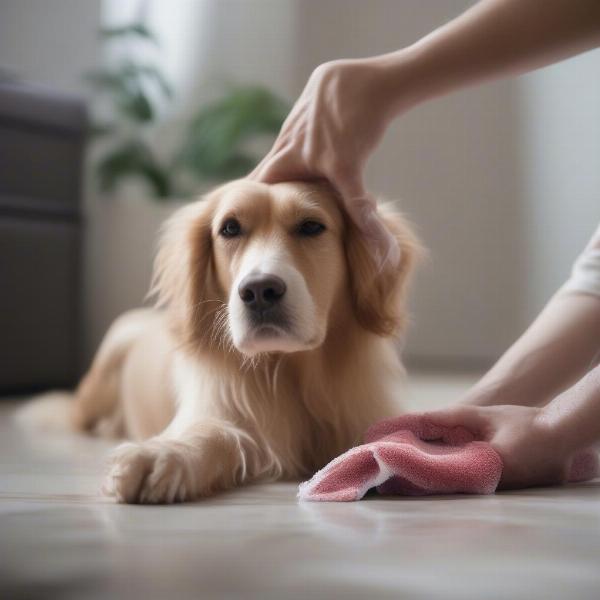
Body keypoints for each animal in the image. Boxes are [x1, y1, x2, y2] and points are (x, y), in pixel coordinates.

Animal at [34, 178, 418, 502]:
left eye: (311, 226)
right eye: (230, 228)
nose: (260, 291)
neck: (288, 366)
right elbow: (213, 433)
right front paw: (161, 454)